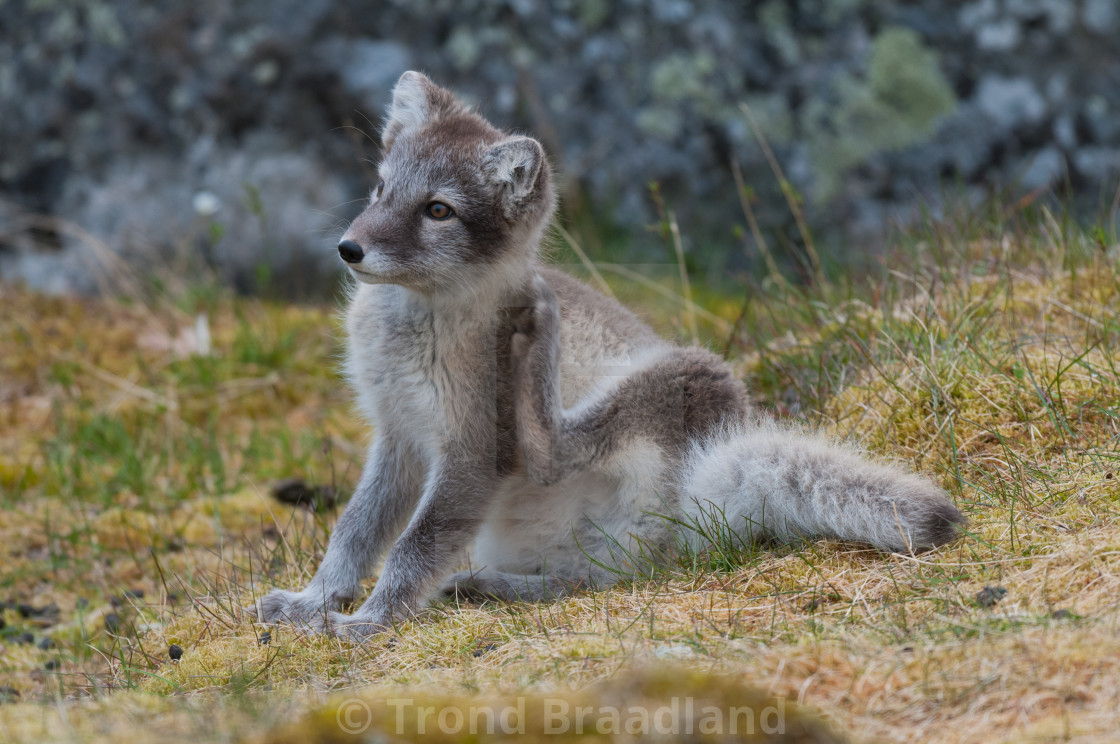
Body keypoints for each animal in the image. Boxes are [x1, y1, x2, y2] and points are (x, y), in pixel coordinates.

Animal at [252, 71, 963, 640]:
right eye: (379, 190)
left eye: (439, 210)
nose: (348, 248)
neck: (411, 323)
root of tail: (701, 491)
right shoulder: (397, 434)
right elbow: (354, 531)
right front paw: (313, 601)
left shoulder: (475, 448)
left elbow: (413, 547)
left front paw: (368, 622)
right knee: (590, 577)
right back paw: (488, 586)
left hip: (683, 374)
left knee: (558, 471)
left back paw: (539, 331)